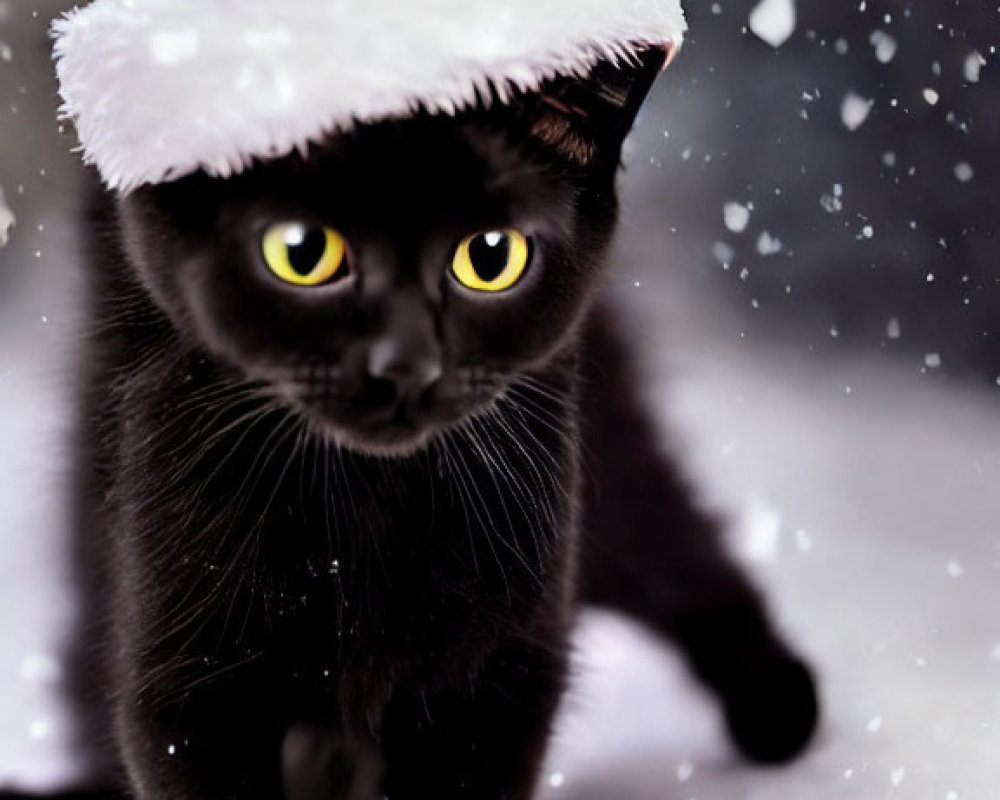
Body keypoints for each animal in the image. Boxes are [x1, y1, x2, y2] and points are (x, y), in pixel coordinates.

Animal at [62, 51, 816, 800]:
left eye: (490, 258)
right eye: (300, 253)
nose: (406, 366)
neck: (364, 507)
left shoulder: (503, 682)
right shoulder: (185, 688)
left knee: (673, 544)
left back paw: (778, 709)